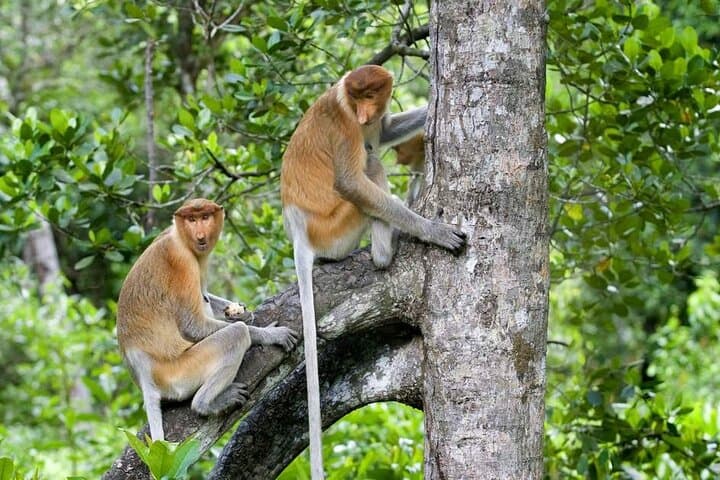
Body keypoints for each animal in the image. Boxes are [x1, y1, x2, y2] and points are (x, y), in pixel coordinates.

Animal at [116, 198, 298, 442]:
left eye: (205, 217)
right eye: (192, 219)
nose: (200, 234)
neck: (180, 237)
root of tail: (144, 372)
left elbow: (206, 298)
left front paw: (242, 313)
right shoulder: (182, 261)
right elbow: (192, 326)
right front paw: (272, 334)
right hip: (180, 373)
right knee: (236, 334)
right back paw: (206, 404)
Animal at [280, 65, 466, 479]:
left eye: (371, 96)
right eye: (357, 99)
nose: (365, 113)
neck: (346, 101)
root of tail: (298, 230)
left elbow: (385, 130)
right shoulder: (345, 125)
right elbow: (351, 180)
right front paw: (434, 231)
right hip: (335, 228)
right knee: (369, 165)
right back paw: (386, 248)